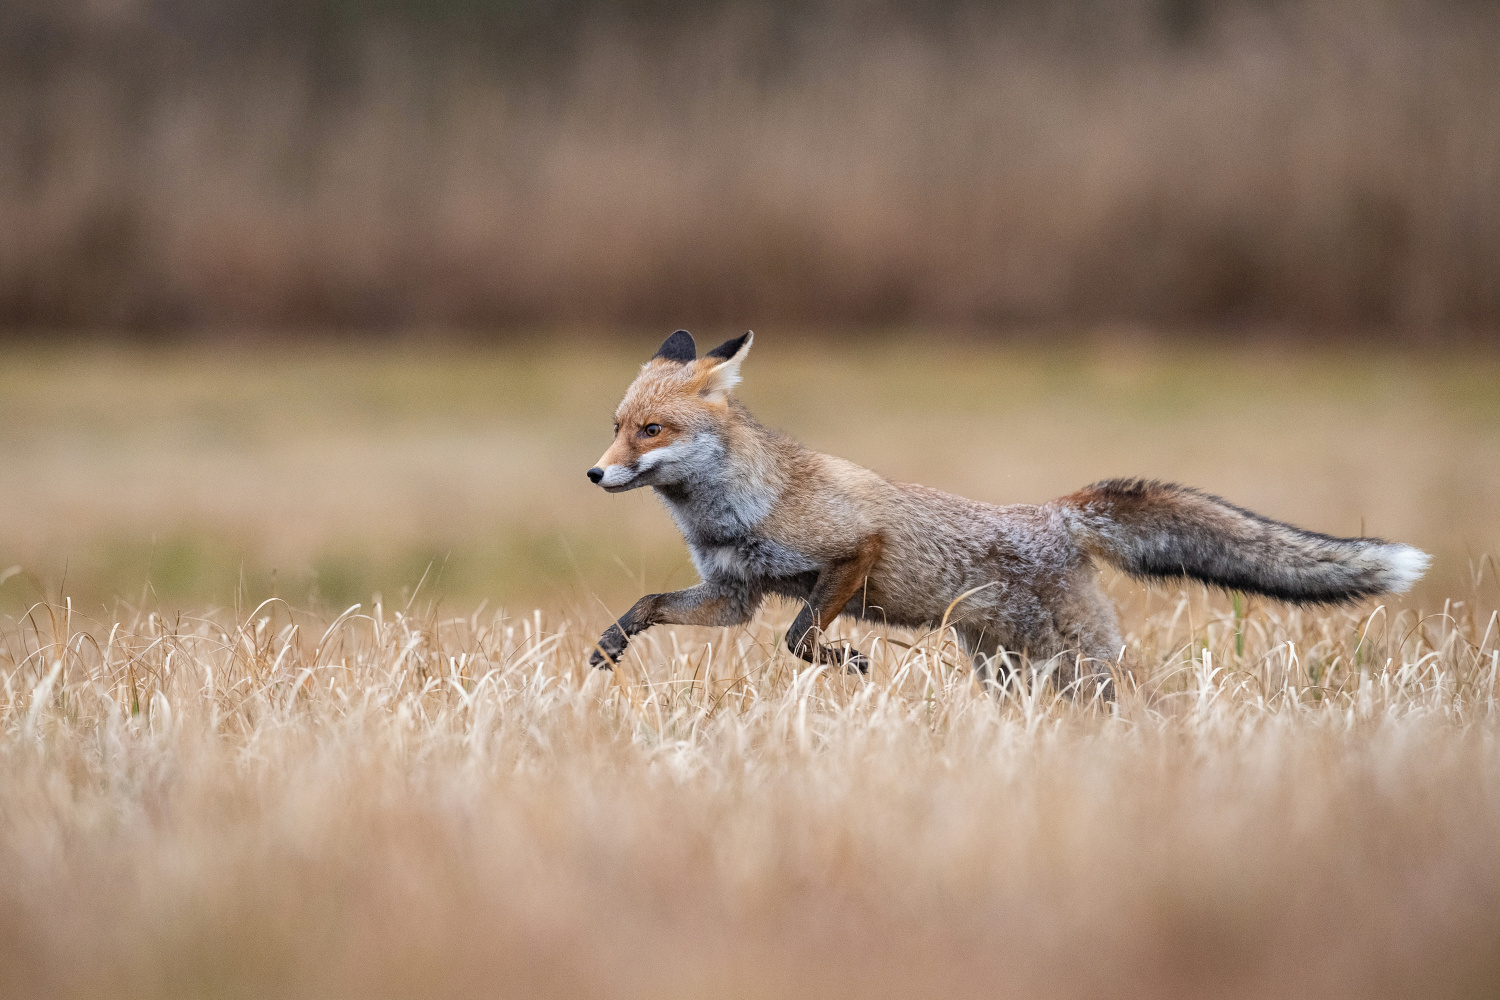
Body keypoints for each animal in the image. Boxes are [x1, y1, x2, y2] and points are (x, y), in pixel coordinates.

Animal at [582, 332, 1428, 692]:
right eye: (617, 424)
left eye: (651, 430)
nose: (595, 471)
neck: (733, 513)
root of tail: (1054, 512)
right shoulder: (734, 593)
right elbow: (649, 604)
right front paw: (607, 649)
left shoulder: (853, 552)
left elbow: (799, 640)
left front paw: (847, 662)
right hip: (1002, 662)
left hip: (1073, 659)